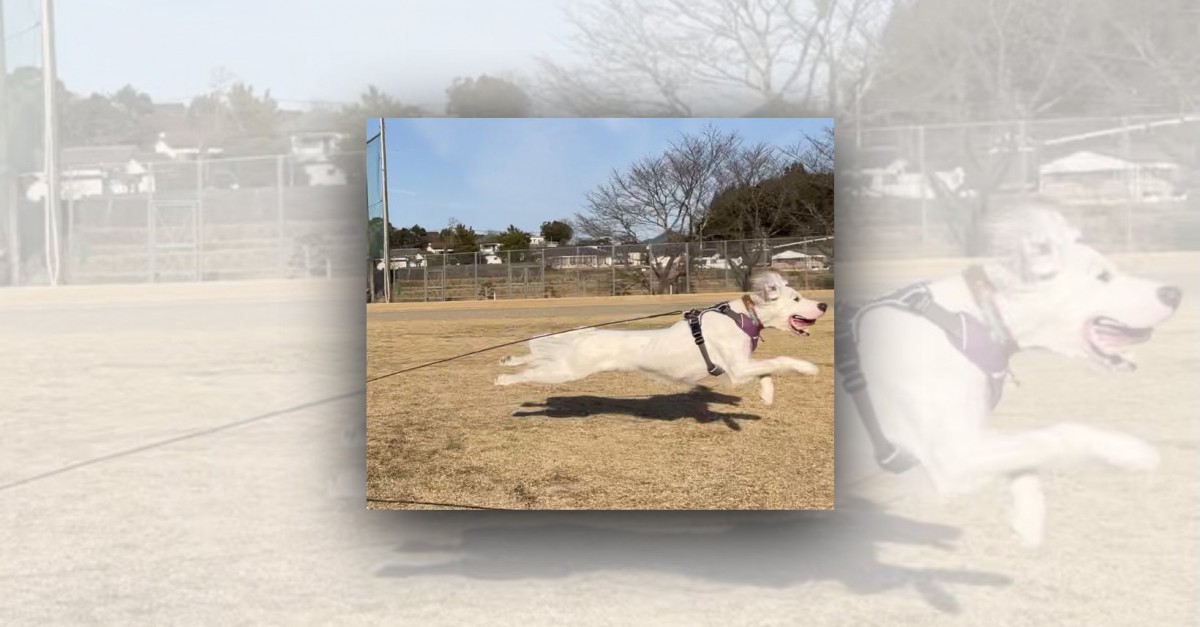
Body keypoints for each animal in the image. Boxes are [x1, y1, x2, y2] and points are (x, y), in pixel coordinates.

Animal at [496, 270, 825, 408]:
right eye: (796, 298)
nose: (823, 305)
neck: (742, 317)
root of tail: (587, 335)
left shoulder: (741, 369)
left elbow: (768, 372)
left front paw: (767, 396)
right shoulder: (738, 368)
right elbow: (781, 361)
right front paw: (809, 368)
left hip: (564, 364)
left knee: (534, 359)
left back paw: (508, 360)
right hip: (566, 371)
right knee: (529, 373)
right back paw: (505, 381)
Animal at [840, 202, 1185, 542]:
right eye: (1102, 276)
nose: (1176, 293)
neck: (970, 320)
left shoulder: (971, 443)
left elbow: (1028, 455)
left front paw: (1028, 517)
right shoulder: (954, 457)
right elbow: (1058, 434)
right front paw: (1133, 452)